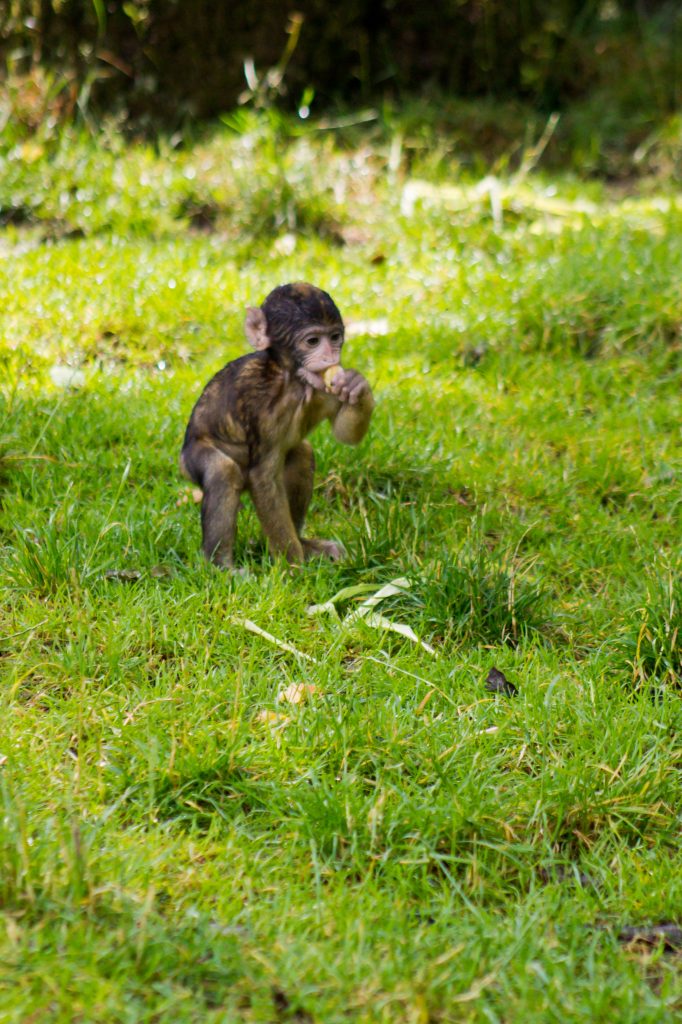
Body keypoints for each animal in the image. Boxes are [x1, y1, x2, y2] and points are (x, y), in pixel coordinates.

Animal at [178, 280, 374, 569]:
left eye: (335, 337)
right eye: (313, 341)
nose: (330, 359)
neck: (292, 380)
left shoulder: (323, 387)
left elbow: (345, 433)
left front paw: (356, 385)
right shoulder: (259, 404)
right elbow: (263, 476)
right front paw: (293, 566)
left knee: (301, 453)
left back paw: (304, 544)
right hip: (191, 461)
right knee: (223, 471)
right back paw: (222, 566)